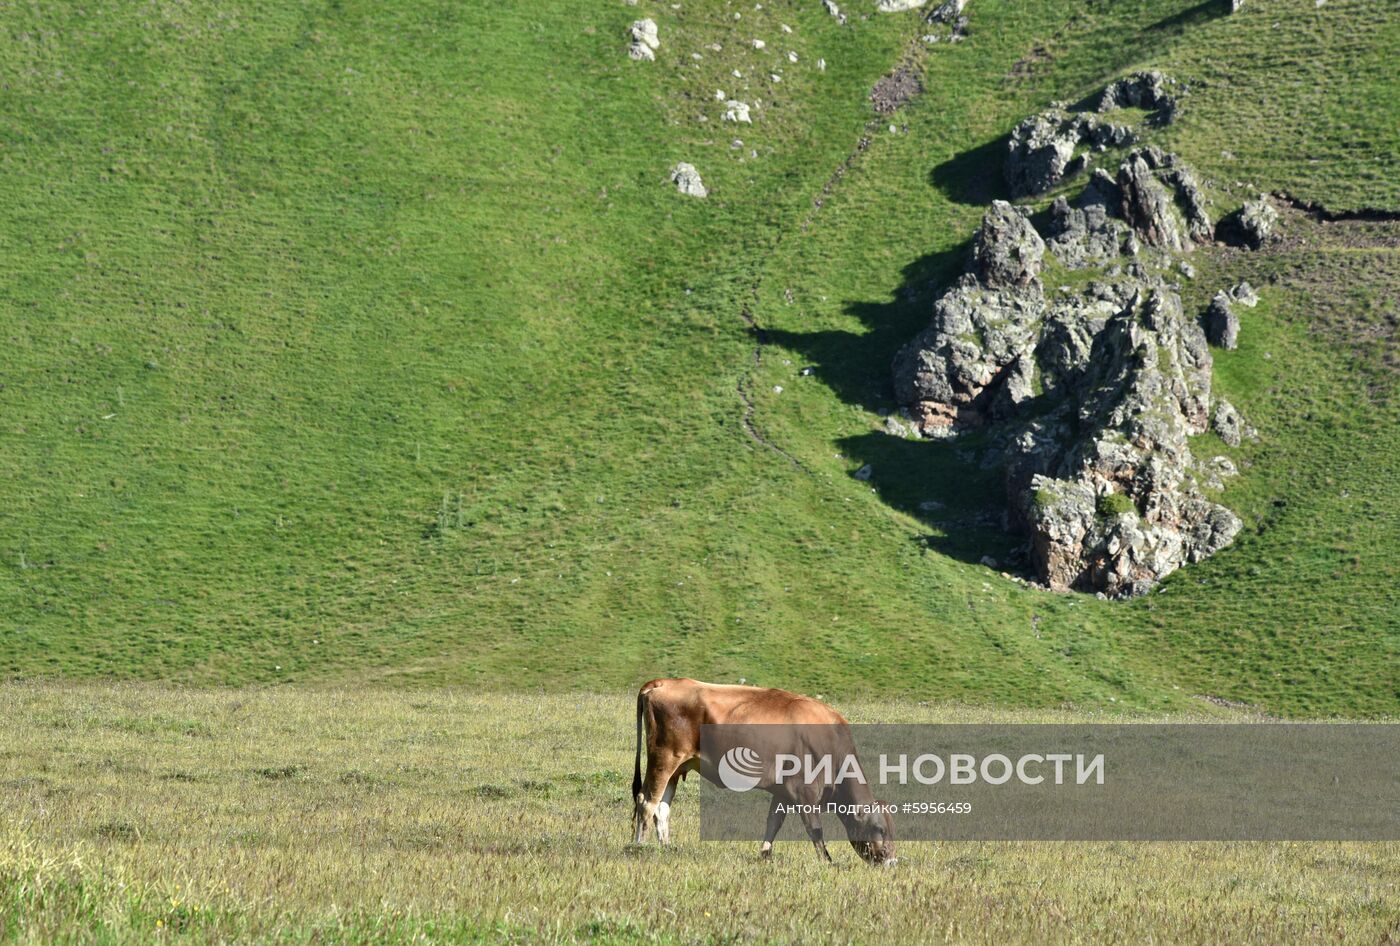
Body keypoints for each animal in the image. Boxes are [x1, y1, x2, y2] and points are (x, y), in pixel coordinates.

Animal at [627, 680, 890, 862]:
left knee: (662, 807)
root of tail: (663, 682)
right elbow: (814, 828)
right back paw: (640, 846)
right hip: (664, 758)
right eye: (880, 829)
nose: (891, 860)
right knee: (647, 802)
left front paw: (765, 854)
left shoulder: (783, 791)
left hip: (676, 766)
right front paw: (826, 860)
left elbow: (773, 822)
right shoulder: (805, 792)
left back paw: (666, 848)